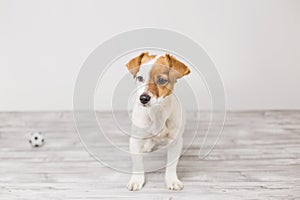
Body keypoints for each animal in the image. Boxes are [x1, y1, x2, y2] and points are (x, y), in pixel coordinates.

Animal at [125, 52, 191, 191]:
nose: (143, 98)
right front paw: (137, 180)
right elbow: (137, 162)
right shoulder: (135, 140)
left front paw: (172, 180)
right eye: (140, 78)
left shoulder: (175, 141)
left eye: (161, 80)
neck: (156, 113)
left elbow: (171, 164)